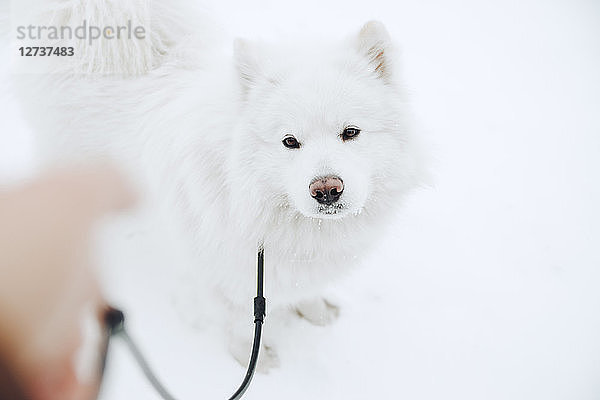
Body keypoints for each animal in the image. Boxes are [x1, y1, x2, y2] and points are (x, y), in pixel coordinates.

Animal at [14, 0, 424, 368]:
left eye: (350, 132)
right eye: (290, 141)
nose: (326, 189)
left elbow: (305, 289)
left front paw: (316, 310)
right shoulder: (220, 268)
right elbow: (238, 319)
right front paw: (251, 358)